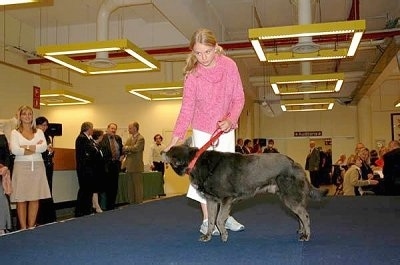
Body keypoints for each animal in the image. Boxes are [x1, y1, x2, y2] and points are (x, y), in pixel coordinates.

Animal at [161, 141, 326, 242]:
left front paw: (224, 235)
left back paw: (306, 236)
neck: (197, 162)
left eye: (169, 152)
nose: (162, 150)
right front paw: (208, 236)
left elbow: (220, 219)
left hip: (290, 196)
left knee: (304, 215)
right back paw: (302, 232)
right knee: (300, 216)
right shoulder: (211, 201)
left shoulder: (226, 199)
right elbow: (211, 220)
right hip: (289, 196)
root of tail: (296, 164)